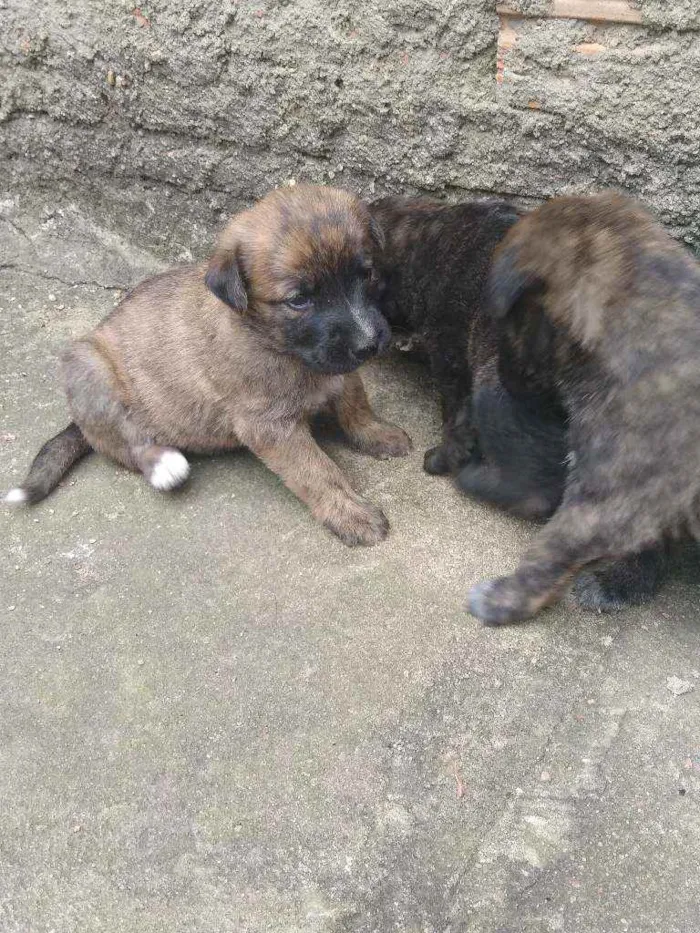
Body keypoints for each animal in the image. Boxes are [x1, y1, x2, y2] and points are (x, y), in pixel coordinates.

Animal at [4, 184, 410, 548]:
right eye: (298, 300)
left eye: (366, 274)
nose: (369, 344)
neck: (276, 343)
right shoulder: (269, 426)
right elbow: (317, 471)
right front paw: (350, 514)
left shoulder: (340, 371)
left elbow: (356, 404)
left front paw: (378, 434)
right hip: (88, 365)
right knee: (127, 440)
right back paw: (163, 464)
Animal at [464, 192, 700, 624]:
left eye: (502, 323)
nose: (500, 379)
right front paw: (623, 583)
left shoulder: (609, 496)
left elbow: (551, 549)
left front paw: (506, 599)